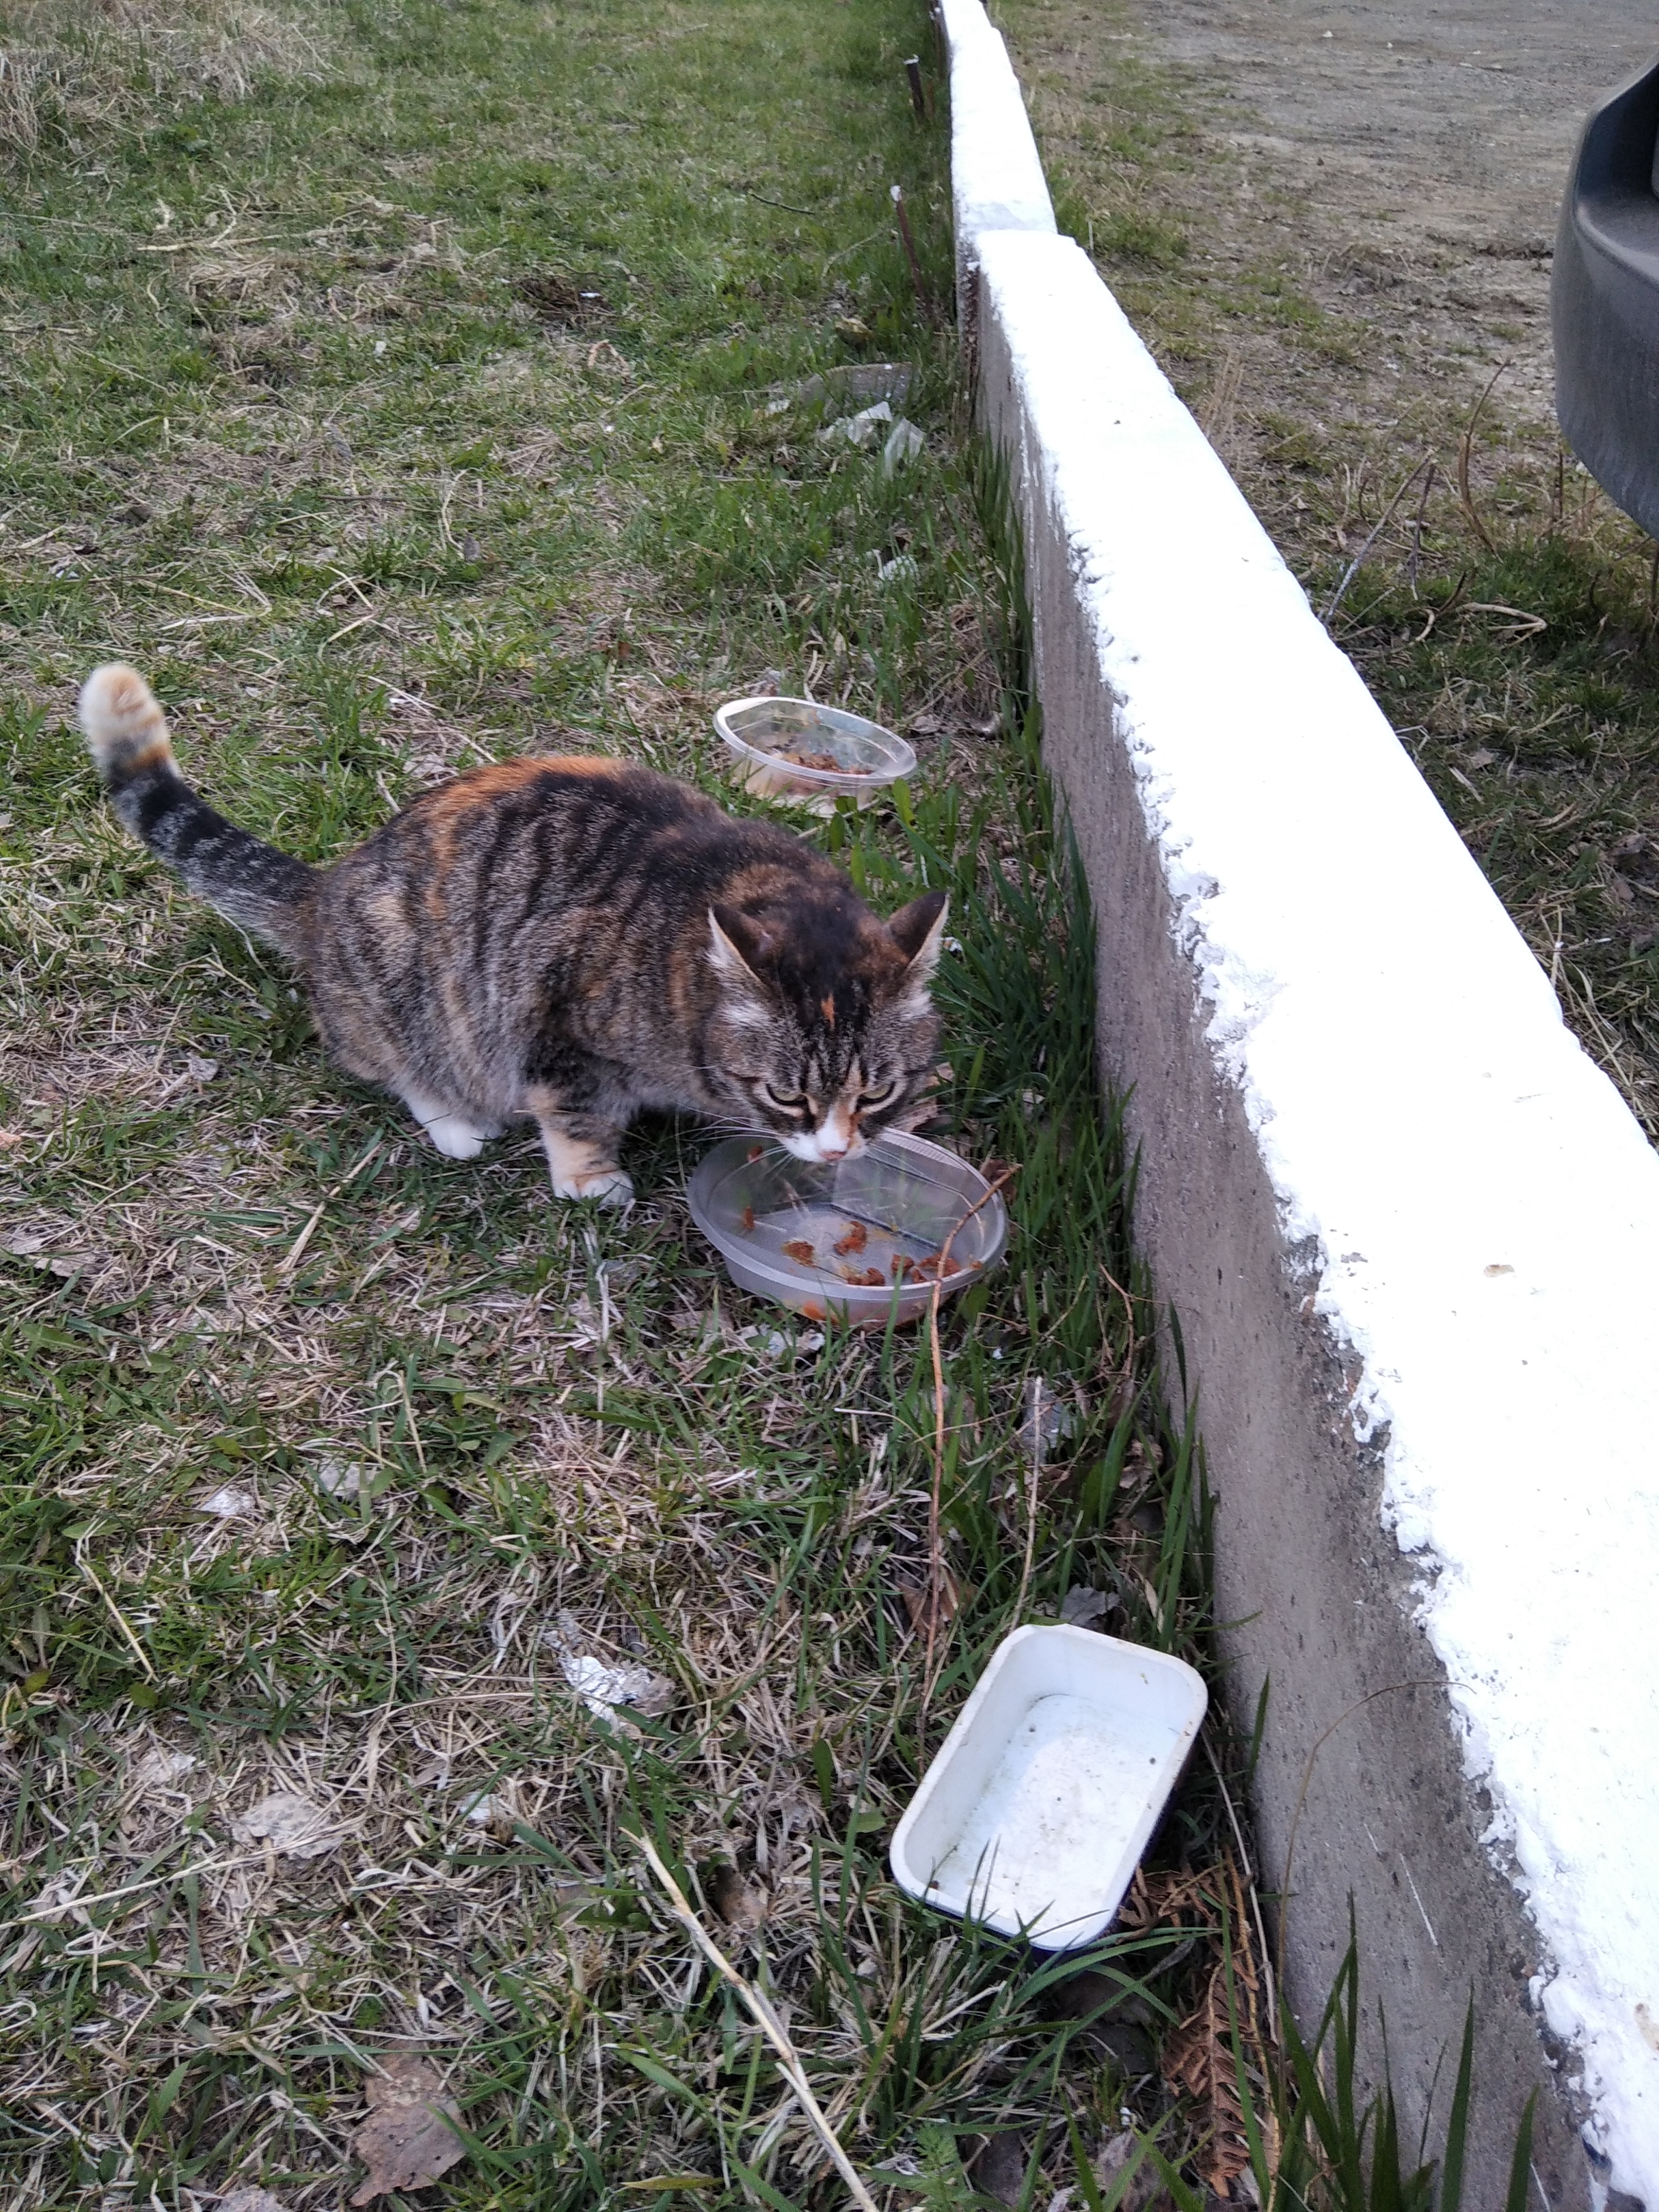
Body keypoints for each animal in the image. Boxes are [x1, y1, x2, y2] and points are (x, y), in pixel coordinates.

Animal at [81, 663, 946, 1203]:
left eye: (877, 1093)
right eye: (785, 1094)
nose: (837, 1149)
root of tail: (329, 890)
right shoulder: (552, 1005)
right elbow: (573, 1109)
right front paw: (591, 1178)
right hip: (407, 984)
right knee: (388, 1058)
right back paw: (456, 1119)